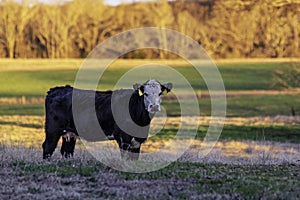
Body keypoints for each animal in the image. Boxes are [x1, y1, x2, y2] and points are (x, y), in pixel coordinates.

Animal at [43, 79, 172, 159]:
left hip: (69, 134)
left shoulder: (137, 141)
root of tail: (57, 89)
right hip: (52, 131)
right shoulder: (123, 138)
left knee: (67, 151)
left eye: (160, 93)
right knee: (48, 147)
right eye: (145, 93)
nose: (154, 106)